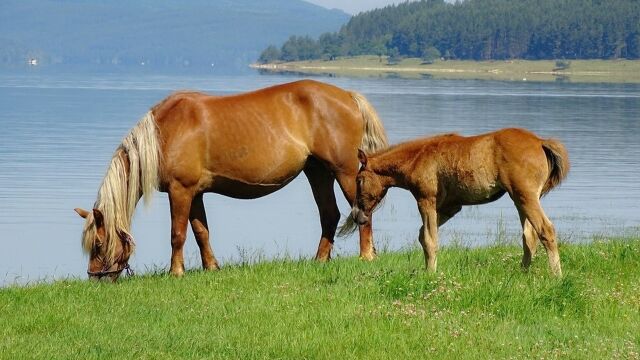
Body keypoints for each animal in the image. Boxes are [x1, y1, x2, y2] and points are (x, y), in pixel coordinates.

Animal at [73, 80, 388, 280]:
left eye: (98, 244)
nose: (95, 279)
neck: (164, 131)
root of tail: (348, 96)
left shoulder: (180, 191)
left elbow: (178, 234)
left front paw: (176, 272)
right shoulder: (195, 193)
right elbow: (201, 232)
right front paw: (211, 267)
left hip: (345, 172)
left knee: (363, 214)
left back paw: (366, 256)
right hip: (318, 172)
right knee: (329, 215)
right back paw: (320, 260)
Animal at [350, 129, 568, 276]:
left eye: (359, 180)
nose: (356, 215)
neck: (418, 157)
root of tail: (540, 142)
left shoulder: (426, 200)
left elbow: (429, 239)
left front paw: (431, 274)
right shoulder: (450, 207)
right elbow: (423, 236)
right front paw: (428, 269)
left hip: (526, 197)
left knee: (546, 230)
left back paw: (556, 275)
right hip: (520, 200)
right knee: (529, 236)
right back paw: (522, 272)